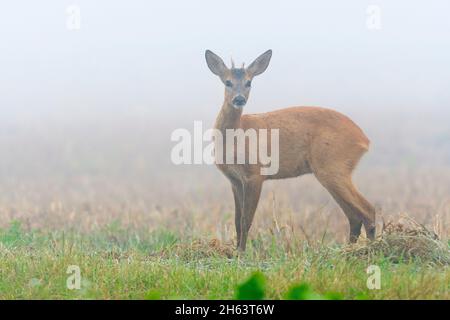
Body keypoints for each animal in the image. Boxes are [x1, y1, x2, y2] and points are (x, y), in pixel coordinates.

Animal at [206, 48, 374, 251]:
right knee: (354, 216)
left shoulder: (255, 174)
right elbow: (237, 221)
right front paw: (237, 250)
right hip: (334, 171)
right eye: (228, 82)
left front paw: (241, 253)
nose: (239, 99)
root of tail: (363, 139)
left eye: (249, 82)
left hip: (333, 166)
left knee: (368, 210)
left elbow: (246, 220)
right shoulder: (235, 180)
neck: (236, 136)